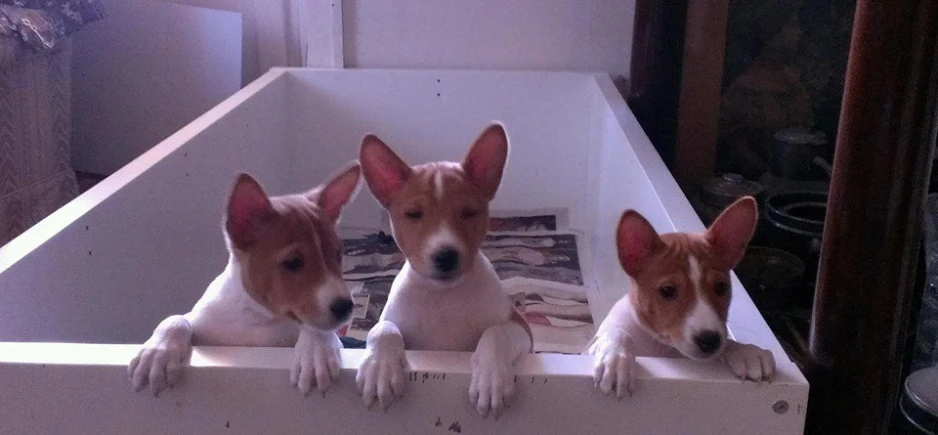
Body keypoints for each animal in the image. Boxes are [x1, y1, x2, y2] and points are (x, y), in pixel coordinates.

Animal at [124, 163, 358, 398]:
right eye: (293, 262)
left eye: (338, 255)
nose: (345, 307)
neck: (257, 319)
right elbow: (177, 319)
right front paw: (157, 352)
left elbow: (317, 327)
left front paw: (317, 353)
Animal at [354, 122, 532, 418]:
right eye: (414, 214)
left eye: (469, 212)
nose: (446, 256)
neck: (444, 297)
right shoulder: (395, 323)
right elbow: (383, 329)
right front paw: (380, 368)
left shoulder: (521, 328)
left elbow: (496, 333)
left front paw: (491, 380)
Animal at [584, 198, 776, 398]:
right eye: (668, 291)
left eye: (721, 287)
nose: (709, 341)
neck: (661, 346)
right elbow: (617, 332)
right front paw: (615, 358)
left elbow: (727, 343)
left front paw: (745, 351)